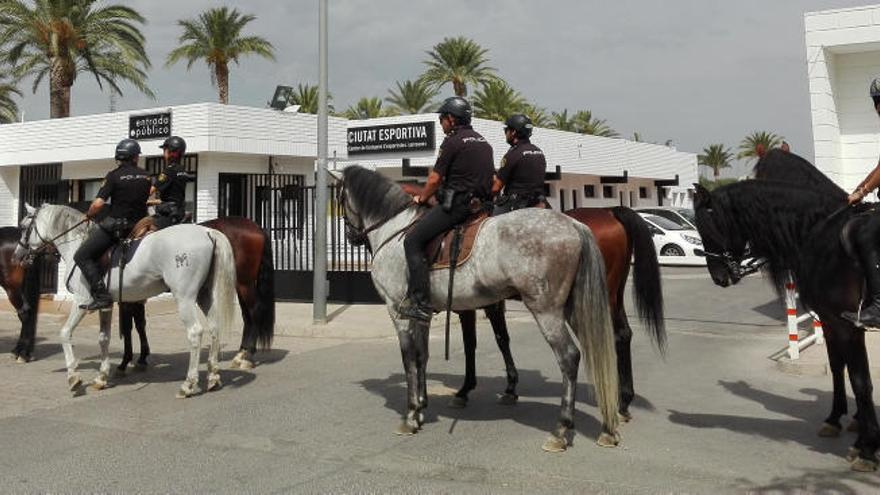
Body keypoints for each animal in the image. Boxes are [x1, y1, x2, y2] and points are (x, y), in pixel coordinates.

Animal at [17, 205, 237, 400]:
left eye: (23, 226)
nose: (18, 256)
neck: (76, 244)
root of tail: (207, 232)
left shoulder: (81, 301)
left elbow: (65, 333)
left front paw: (73, 377)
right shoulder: (105, 305)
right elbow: (103, 338)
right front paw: (101, 377)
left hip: (184, 298)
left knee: (195, 333)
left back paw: (188, 385)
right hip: (204, 295)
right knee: (214, 328)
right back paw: (213, 376)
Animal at [336, 168, 620, 454]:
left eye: (338, 197)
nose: (350, 237)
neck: (395, 231)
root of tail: (574, 225)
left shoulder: (398, 311)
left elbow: (410, 359)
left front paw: (411, 415)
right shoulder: (421, 315)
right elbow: (422, 356)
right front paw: (422, 406)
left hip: (546, 310)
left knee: (570, 357)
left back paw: (561, 430)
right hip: (574, 308)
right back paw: (608, 427)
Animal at [696, 179, 880, 472]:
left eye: (709, 226)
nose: (719, 277)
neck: (821, 237)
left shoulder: (847, 327)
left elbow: (861, 381)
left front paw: (868, 448)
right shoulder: (830, 322)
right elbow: (839, 368)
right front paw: (837, 421)